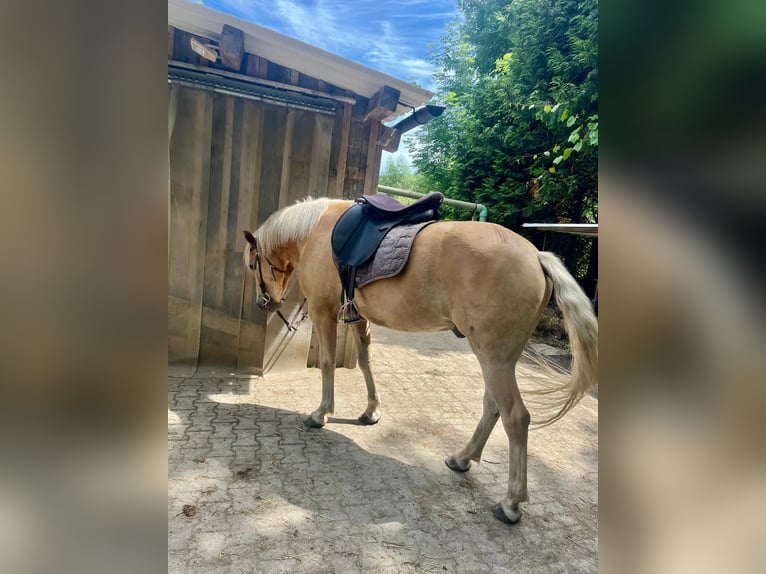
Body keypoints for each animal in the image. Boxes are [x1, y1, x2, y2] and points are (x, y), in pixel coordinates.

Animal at [244, 198, 600, 528]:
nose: (264, 303)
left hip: (494, 357)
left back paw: (511, 502)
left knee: (515, 417)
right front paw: (371, 411)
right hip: (496, 358)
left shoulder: (323, 310)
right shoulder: (359, 316)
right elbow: (365, 362)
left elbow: (330, 363)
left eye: (252, 264)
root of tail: (536, 257)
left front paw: (322, 413)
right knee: (492, 406)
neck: (316, 230)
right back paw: (462, 458)